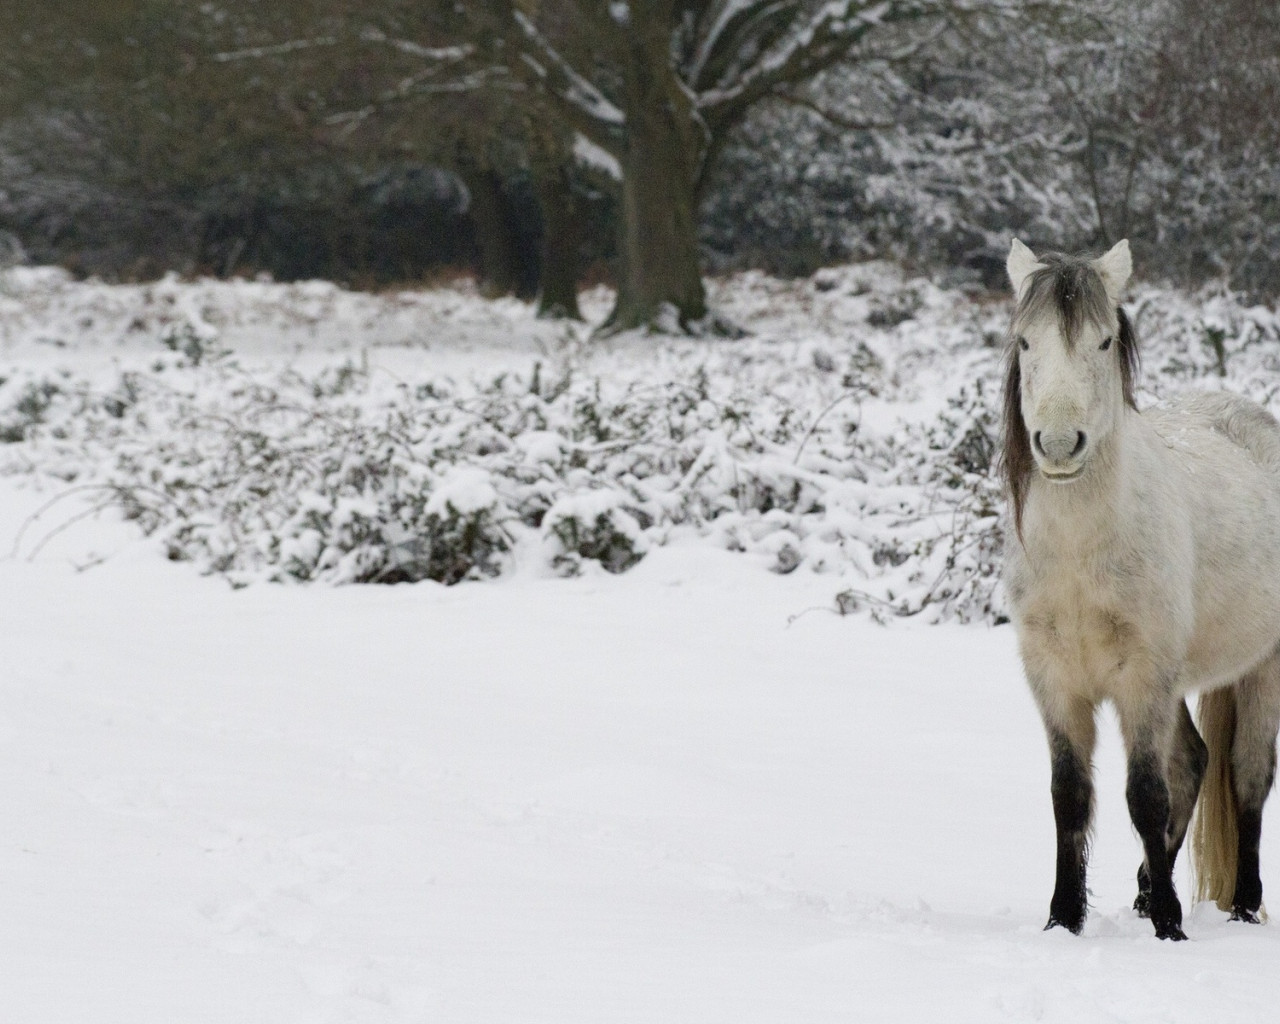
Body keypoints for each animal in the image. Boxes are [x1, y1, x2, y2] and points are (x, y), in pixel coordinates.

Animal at [1003, 235, 1280, 942]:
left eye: (1103, 342)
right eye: (1025, 342)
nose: (1058, 444)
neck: (1082, 555)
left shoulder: (1143, 677)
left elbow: (1146, 795)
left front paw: (1169, 927)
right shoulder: (1053, 678)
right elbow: (1071, 796)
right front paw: (1064, 918)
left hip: (1261, 666)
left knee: (1246, 775)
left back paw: (1241, 906)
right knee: (1195, 762)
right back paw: (1146, 890)